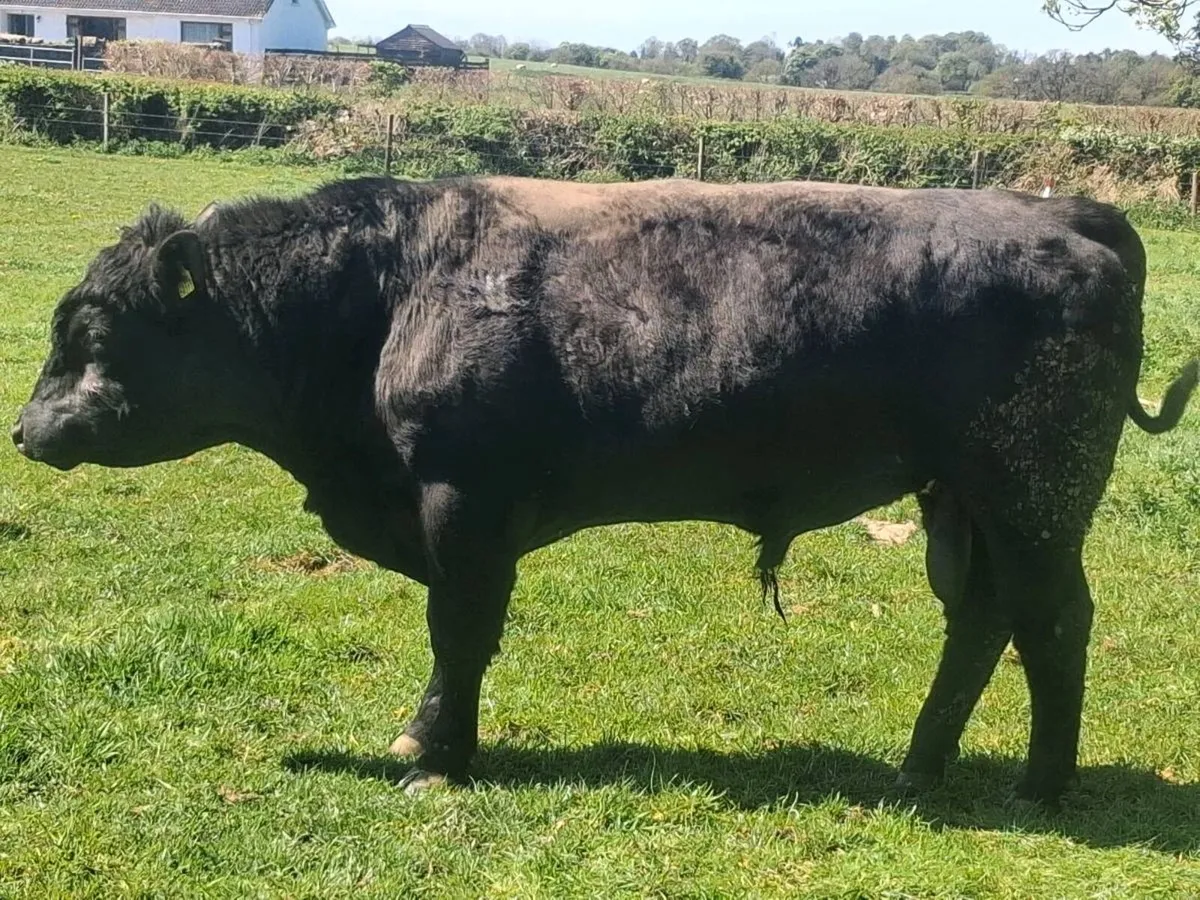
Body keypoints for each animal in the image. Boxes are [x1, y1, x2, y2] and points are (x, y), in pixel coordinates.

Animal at [11, 174, 1198, 807]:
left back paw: (1040, 784)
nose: (23, 430)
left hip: (1033, 490)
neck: (391, 289)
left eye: (95, 332)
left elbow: (460, 632)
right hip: (965, 499)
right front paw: (422, 740)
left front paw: (439, 758)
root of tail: (1065, 213)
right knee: (983, 620)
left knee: (1055, 619)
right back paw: (917, 766)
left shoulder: (465, 505)